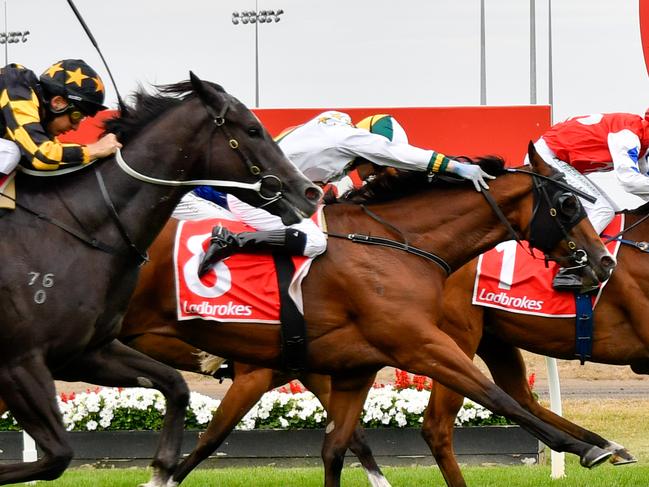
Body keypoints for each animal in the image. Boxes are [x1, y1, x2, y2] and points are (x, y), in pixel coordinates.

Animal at [0, 73, 316, 487]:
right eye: (252, 129)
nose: (309, 191)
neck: (77, 226)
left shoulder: (83, 352)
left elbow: (176, 387)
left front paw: (162, 467)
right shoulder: (20, 362)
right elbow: (56, 456)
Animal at [119, 146, 616, 487]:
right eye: (569, 204)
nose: (603, 261)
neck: (395, 244)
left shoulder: (349, 366)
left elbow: (337, 446)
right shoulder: (418, 344)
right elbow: (500, 399)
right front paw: (589, 448)